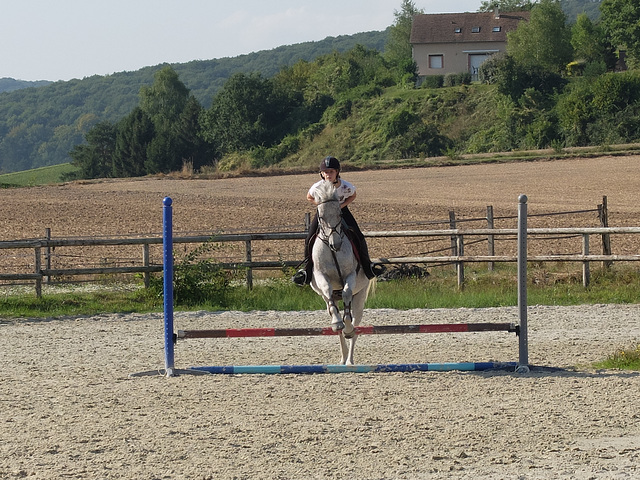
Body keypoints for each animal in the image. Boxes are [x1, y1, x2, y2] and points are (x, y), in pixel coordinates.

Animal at [308, 180, 372, 364]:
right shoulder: (321, 276)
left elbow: (346, 292)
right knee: (335, 316)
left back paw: (349, 359)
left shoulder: (350, 276)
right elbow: (328, 290)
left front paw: (347, 326)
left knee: (355, 326)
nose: (335, 244)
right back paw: (343, 359)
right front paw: (337, 322)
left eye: (339, 214)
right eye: (321, 217)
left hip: (360, 297)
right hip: (327, 300)